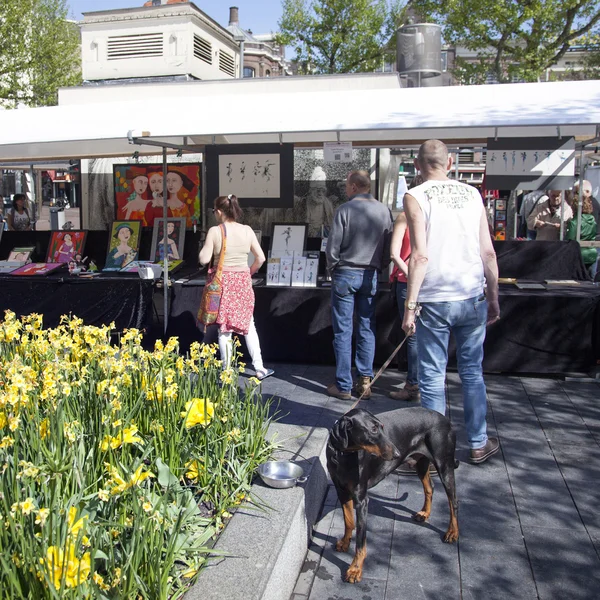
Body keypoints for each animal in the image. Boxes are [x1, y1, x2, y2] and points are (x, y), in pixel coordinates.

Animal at [326, 406, 458, 584]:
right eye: (373, 429)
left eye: (382, 427)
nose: (397, 454)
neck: (342, 454)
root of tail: (445, 419)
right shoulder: (342, 491)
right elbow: (348, 521)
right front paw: (345, 542)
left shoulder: (362, 499)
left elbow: (361, 540)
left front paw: (355, 569)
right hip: (420, 462)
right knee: (429, 487)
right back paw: (425, 513)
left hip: (444, 465)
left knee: (453, 501)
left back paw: (452, 532)